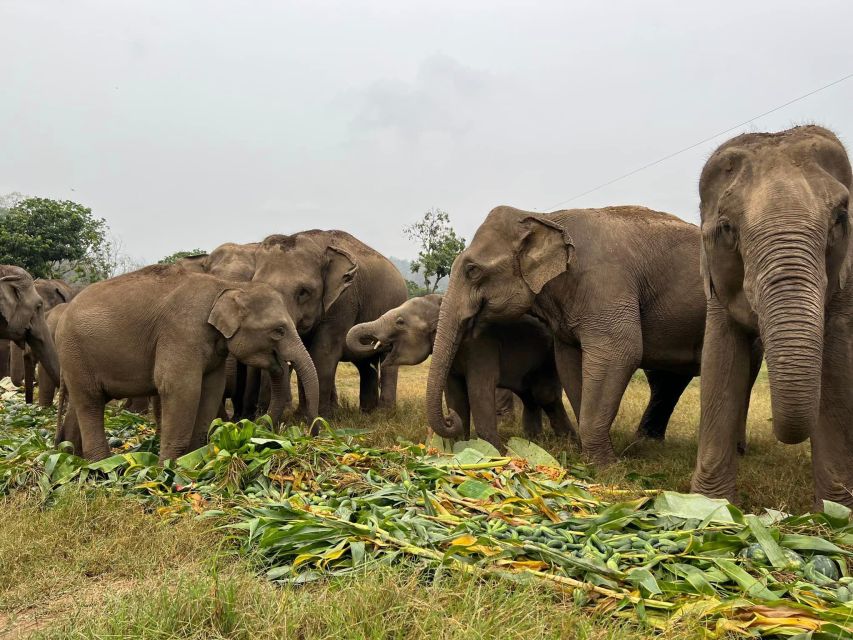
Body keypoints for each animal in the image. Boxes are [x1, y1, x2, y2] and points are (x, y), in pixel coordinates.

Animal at [55, 262, 320, 462]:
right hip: (75, 352)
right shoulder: (181, 332)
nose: (313, 432)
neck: (227, 287)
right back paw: (101, 465)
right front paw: (168, 469)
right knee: (90, 402)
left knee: (81, 403)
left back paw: (71, 457)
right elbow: (181, 388)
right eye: (278, 331)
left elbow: (211, 389)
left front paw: (193, 460)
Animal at [251, 229, 408, 416]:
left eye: (303, 292)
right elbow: (306, 357)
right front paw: (301, 415)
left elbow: (322, 353)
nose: (259, 414)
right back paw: (366, 412)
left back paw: (384, 413)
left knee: (388, 361)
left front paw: (318, 417)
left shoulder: (343, 303)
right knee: (365, 364)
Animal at [344, 292, 572, 448]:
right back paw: (535, 441)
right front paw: (460, 447)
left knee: (544, 395)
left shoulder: (482, 348)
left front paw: (496, 452)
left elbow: (478, 392)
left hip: (548, 359)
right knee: (530, 397)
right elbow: (455, 394)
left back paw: (566, 444)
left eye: (399, 322)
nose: (448, 417)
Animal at [422, 204, 748, 460]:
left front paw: (607, 467)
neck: (546, 217)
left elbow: (621, 351)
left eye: (472, 270)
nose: (451, 419)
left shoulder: (605, 285)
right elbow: (568, 362)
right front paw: (591, 456)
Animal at [692, 124, 852, 504]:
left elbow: (836, 366)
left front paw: (835, 510)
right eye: (727, 228)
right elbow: (720, 358)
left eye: (840, 219)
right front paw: (709, 505)